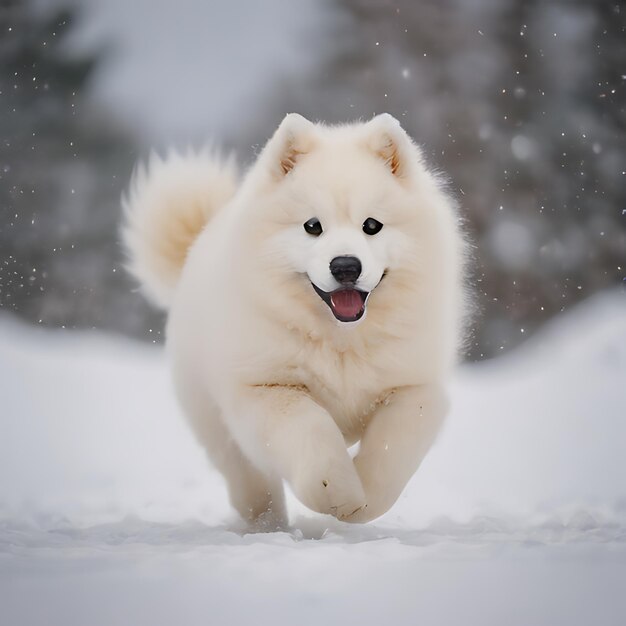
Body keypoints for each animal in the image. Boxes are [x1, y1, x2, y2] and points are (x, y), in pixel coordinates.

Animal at [120, 112, 464, 520]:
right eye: (312, 226)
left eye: (372, 225)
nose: (346, 266)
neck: (342, 343)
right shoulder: (264, 388)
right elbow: (311, 430)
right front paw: (338, 492)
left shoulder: (415, 387)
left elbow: (393, 450)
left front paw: (362, 502)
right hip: (214, 418)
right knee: (249, 480)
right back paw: (267, 522)